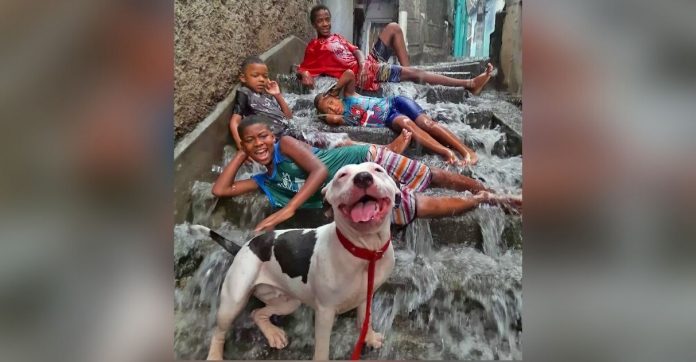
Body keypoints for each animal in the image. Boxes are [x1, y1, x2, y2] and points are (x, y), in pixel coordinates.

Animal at [198, 163, 400, 360]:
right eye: (342, 175)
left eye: (378, 170)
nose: (363, 177)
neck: (365, 251)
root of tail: (243, 247)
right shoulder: (325, 313)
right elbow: (322, 350)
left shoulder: (367, 296)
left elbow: (366, 319)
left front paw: (370, 337)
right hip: (234, 300)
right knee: (219, 330)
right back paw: (215, 355)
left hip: (287, 302)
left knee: (257, 313)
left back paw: (273, 334)